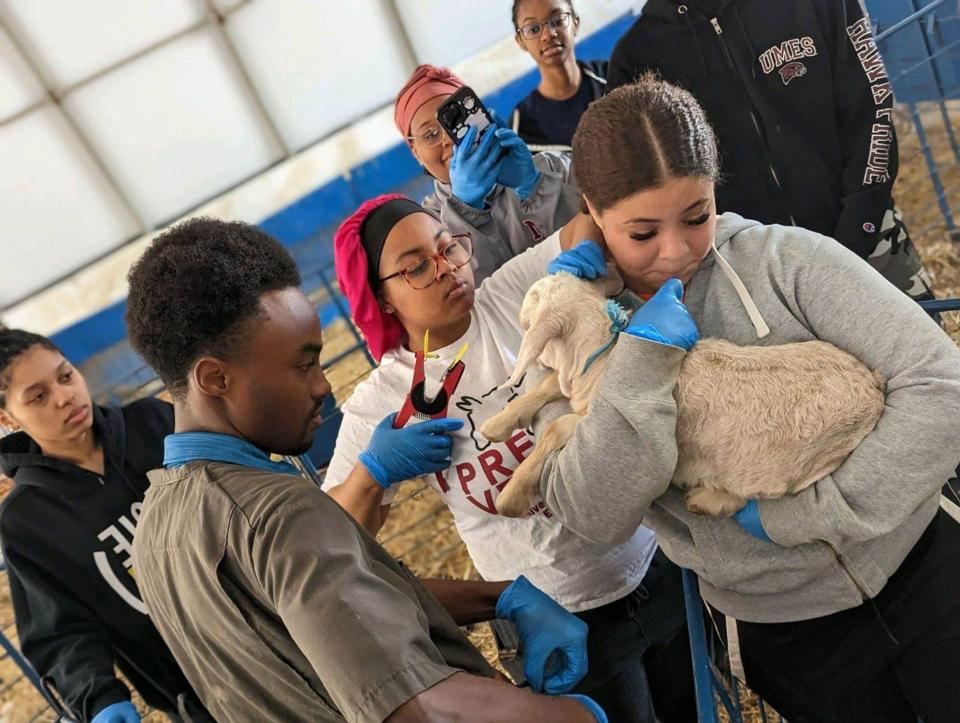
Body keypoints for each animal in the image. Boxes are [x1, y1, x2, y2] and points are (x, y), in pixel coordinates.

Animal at [480, 272, 884, 520]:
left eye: (532, 306)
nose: (520, 312)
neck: (604, 357)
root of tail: (874, 389)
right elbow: (549, 385)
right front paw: (496, 424)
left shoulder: (598, 418)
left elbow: (557, 427)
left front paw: (511, 497)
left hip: (789, 460)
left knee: (770, 491)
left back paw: (707, 500)